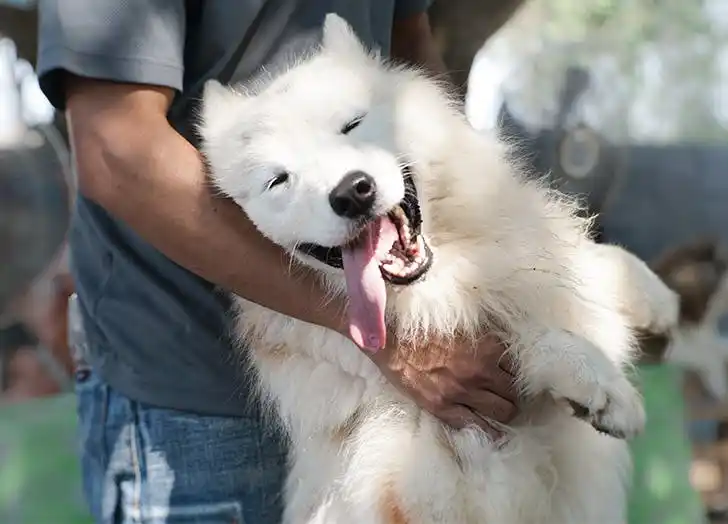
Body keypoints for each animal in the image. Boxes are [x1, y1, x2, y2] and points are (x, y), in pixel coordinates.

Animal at [198, 14, 676, 520]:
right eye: (278, 181)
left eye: (352, 124)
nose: (352, 192)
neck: (448, 284)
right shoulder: (445, 470)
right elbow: (531, 343)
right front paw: (605, 388)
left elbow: (588, 261)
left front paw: (656, 301)